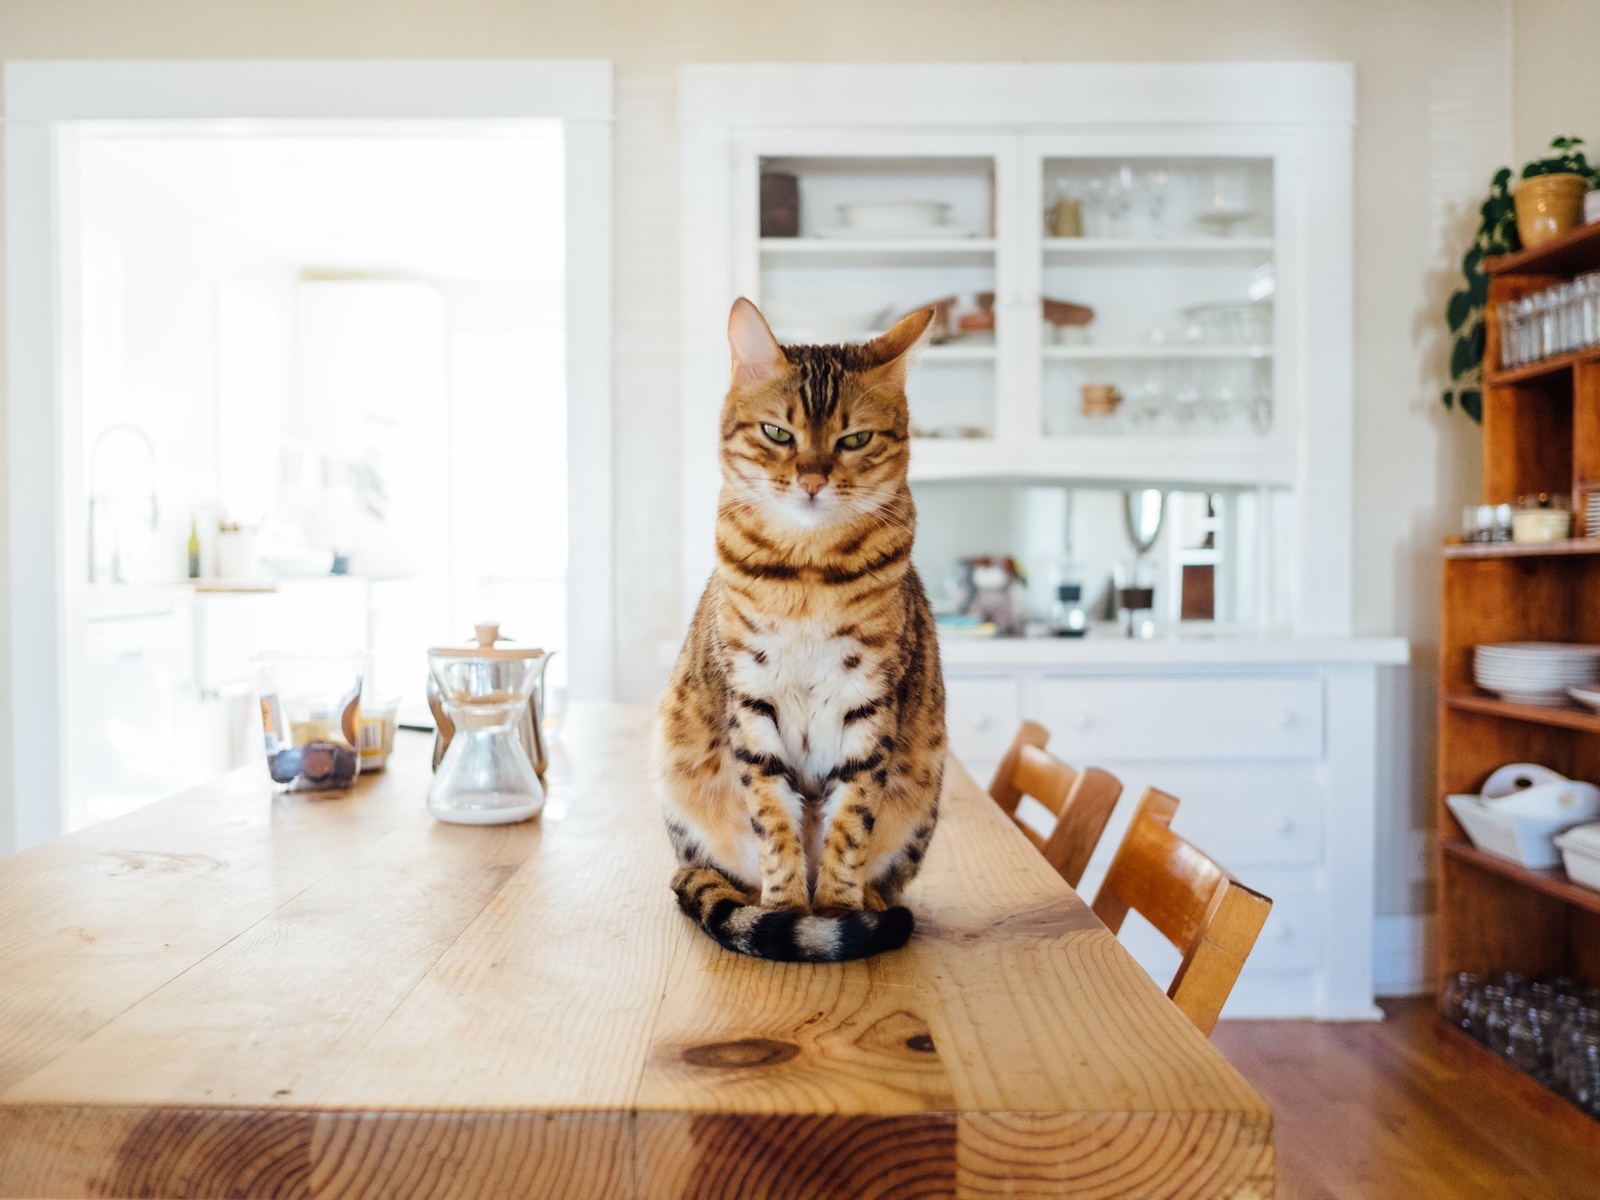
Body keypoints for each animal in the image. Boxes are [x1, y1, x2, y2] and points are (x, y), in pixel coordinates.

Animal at [652, 300, 940, 966]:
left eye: (854, 439)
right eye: (778, 433)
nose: (811, 480)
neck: (808, 574)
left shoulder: (869, 702)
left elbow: (851, 821)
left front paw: (835, 911)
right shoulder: (752, 698)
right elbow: (773, 819)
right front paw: (786, 911)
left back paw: (873, 904)